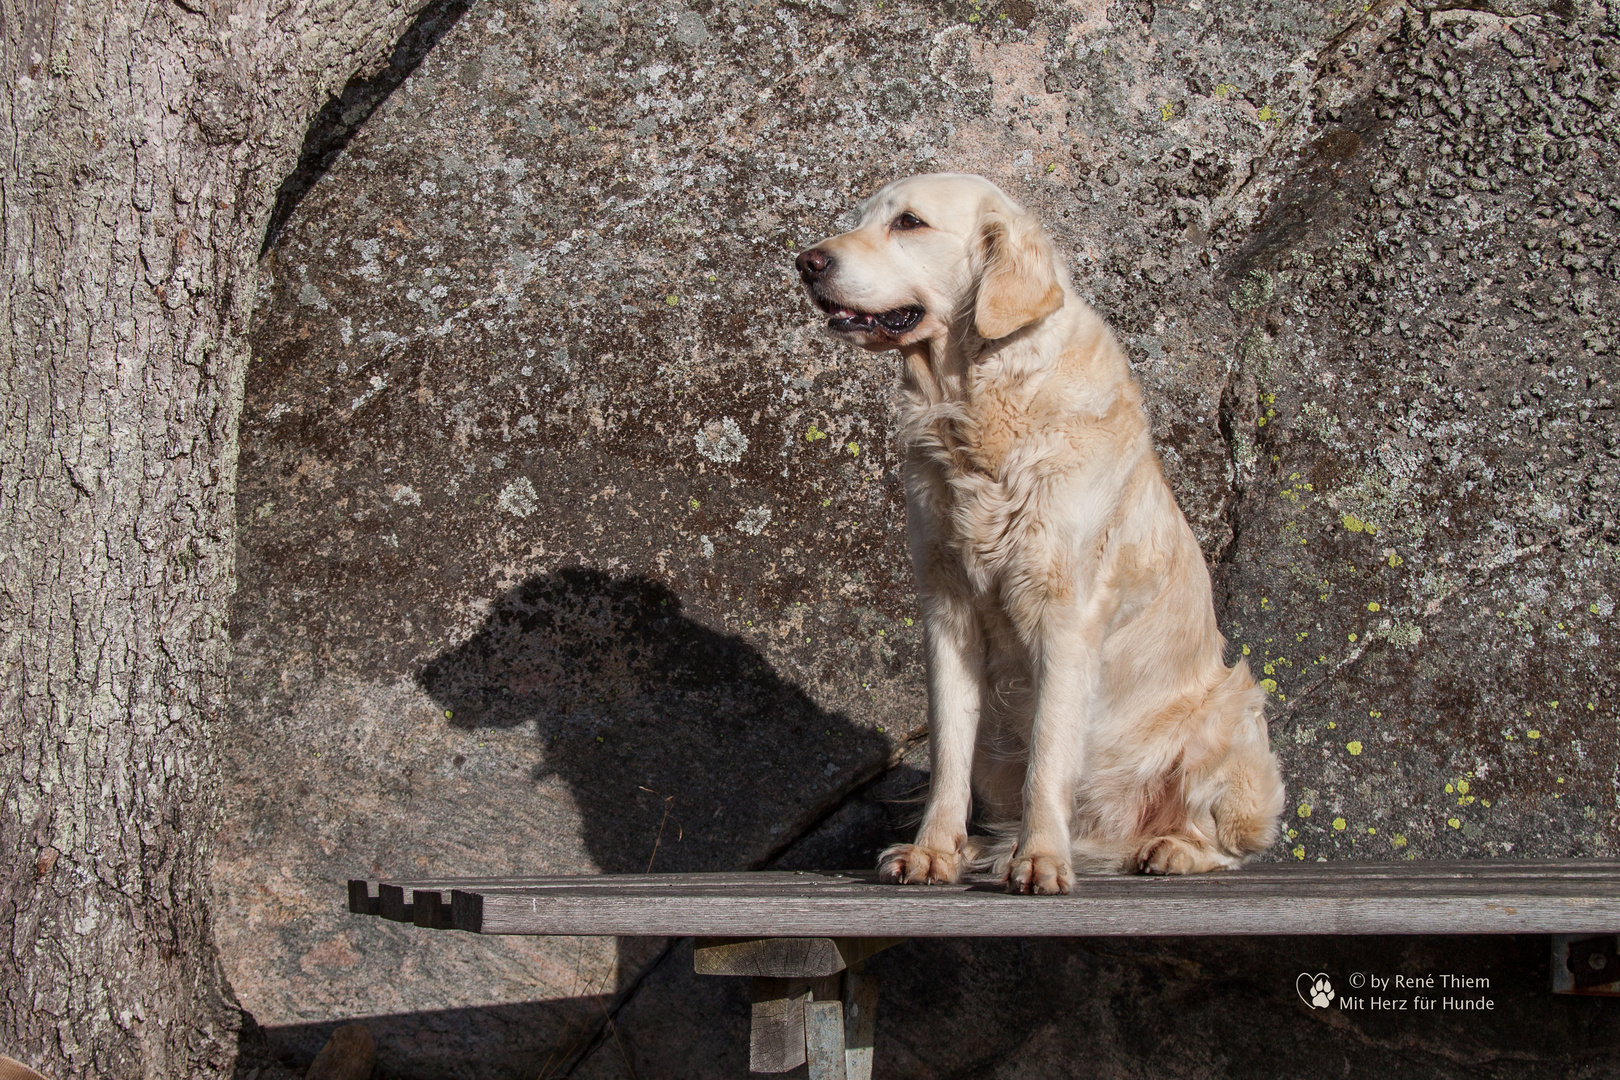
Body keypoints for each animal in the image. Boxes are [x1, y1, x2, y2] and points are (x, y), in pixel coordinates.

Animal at [790, 173, 1283, 893]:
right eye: (862, 217)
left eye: (909, 223)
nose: (807, 262)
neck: (977, 404)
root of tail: (1113, 835)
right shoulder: (947, 611)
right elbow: (948, 752)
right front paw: (933, 851)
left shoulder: (1065, 615)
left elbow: (1048, 756)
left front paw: (1041, 859)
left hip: (1233, 714)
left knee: (1228, 841)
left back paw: (1169, 849)